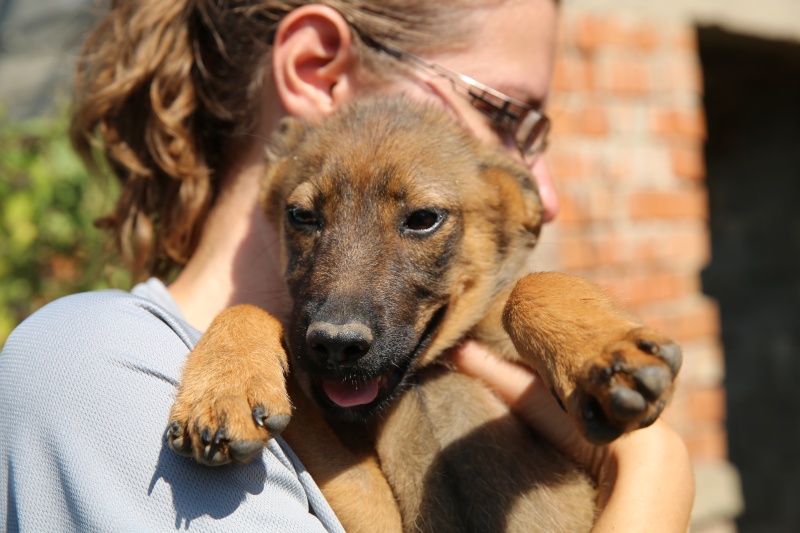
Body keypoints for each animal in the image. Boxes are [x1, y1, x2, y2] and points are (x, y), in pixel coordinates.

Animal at [167, 97, 680, 528]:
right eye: (301, 216)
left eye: (422, 219)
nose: (335, 346)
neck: (424, 382)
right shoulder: (373, 510)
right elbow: (249, 307)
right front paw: (224, 391)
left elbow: (531, 285)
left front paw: (606, 358)